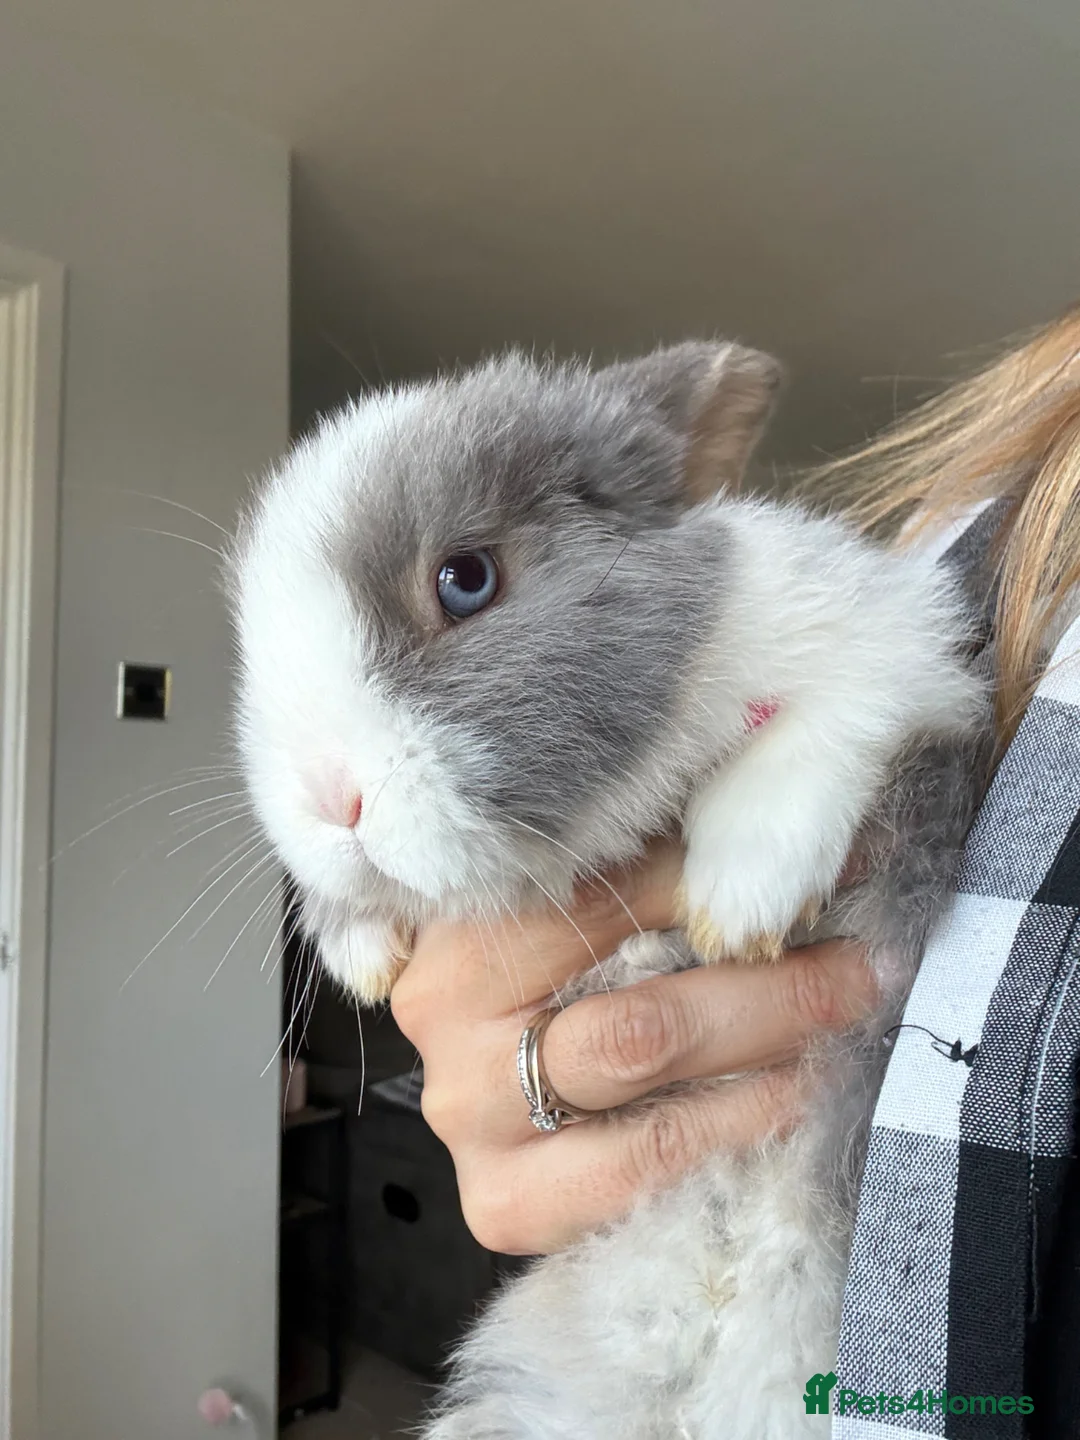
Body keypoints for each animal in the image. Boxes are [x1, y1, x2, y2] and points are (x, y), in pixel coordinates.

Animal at [226, 341, 991, 1439]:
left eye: (466, 580)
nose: (331, 799)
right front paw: (359, 946)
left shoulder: (908, 659)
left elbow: (825, 722)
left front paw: (741, 897)